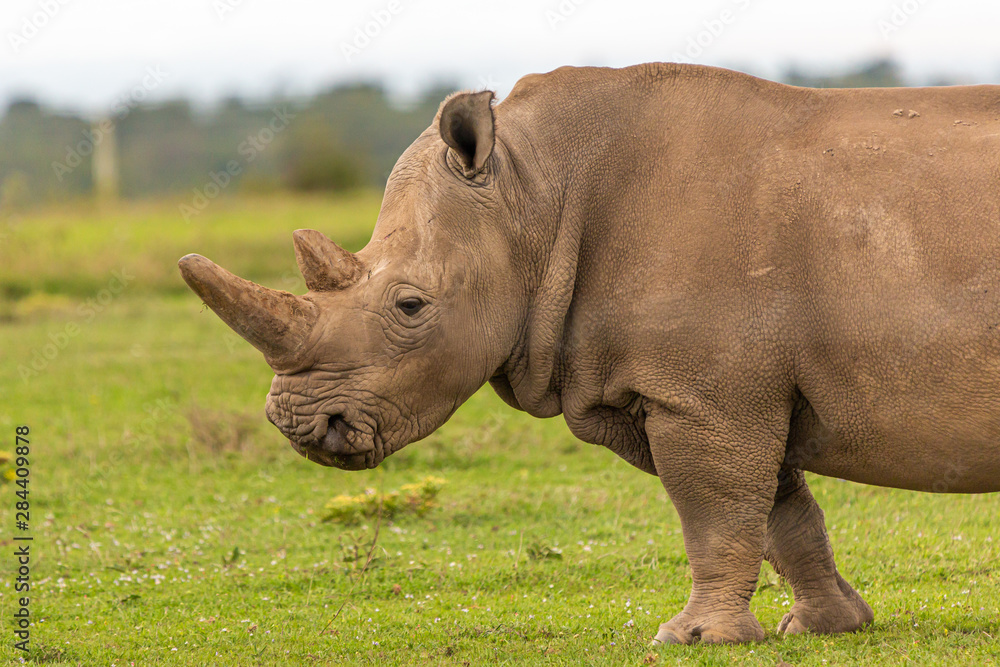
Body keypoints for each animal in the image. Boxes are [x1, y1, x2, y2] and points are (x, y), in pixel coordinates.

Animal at [179, 63, 1000, 645]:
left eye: (410, 307)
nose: (300, 426)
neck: (532, 192)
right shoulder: (718, 388)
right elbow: (776, 507)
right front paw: (827, 626)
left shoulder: (704, 394)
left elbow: (715, 507)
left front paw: (691, 638)